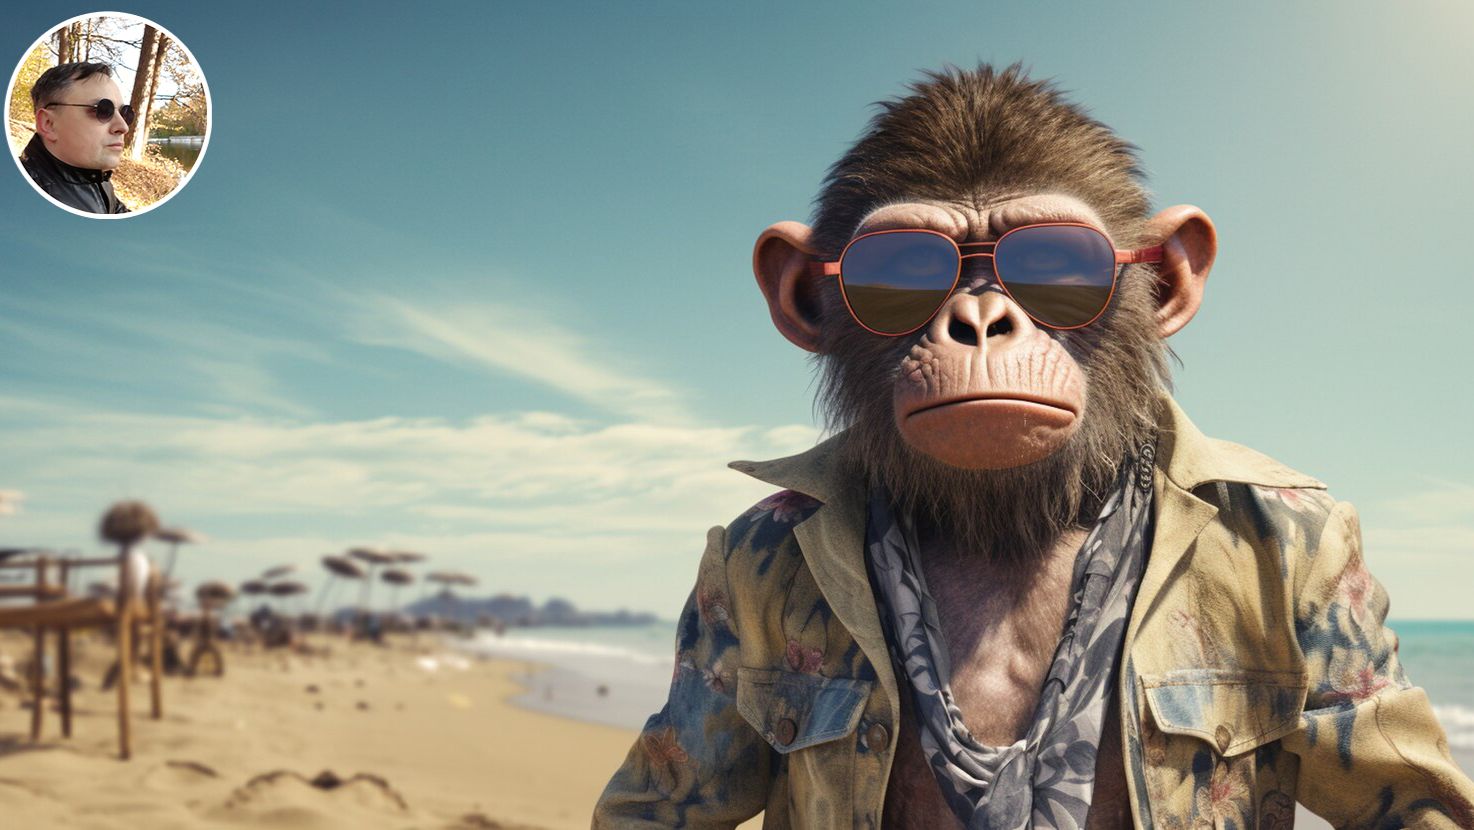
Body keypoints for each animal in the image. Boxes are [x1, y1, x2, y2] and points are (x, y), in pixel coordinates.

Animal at [594, 64, 1474, 830]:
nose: (981, 321)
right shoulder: (734, 555)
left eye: (1052, 261)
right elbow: (668, 794)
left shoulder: (1326, 556)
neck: (1013, 521)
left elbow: (1408, 785)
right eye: (905, 270)